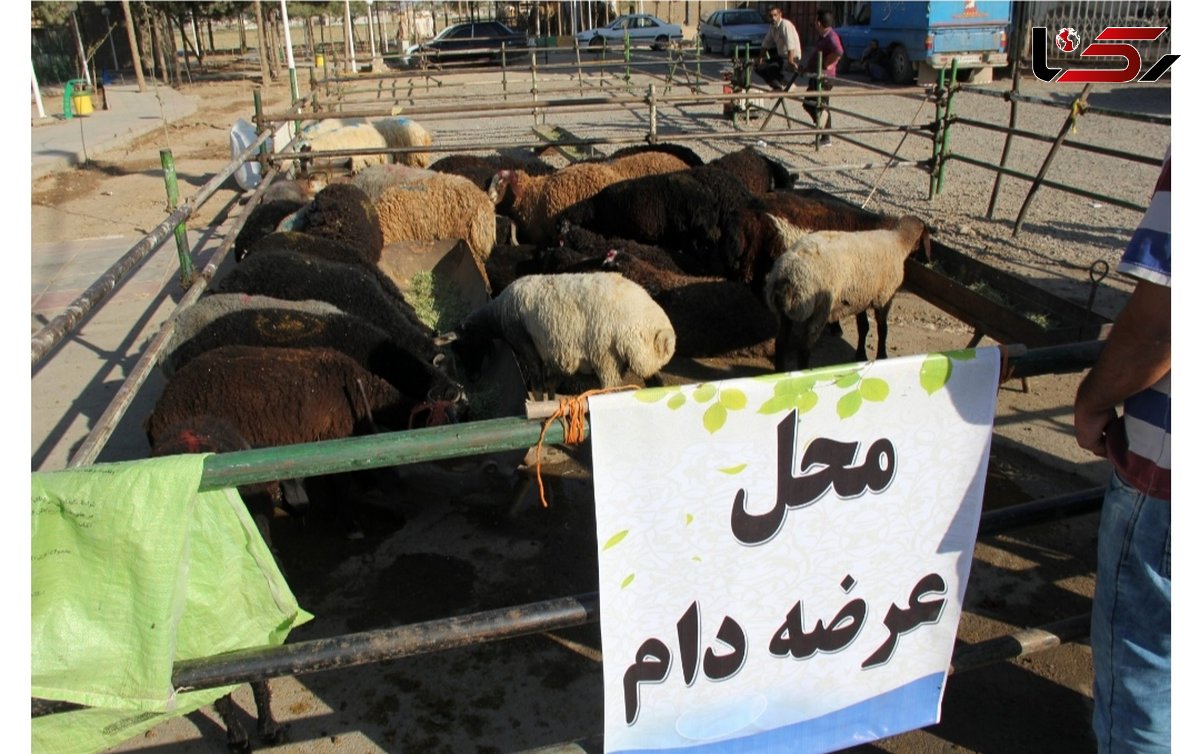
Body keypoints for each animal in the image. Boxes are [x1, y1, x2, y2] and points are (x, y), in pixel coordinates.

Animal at [436, 272, 681, 401]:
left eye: (463, 348)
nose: (472, 378)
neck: (497, 315)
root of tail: (661, 331)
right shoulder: (553, 353)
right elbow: (551, 385)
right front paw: (552, 407)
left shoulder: (525, 345)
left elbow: (537, 385)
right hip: (640, 359)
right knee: (656, 382)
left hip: (606, 357)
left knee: (611, 388)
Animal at [763, 214, 931, 372]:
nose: (928, 261)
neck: (899, 241)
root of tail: (784, 277)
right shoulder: (884, 297)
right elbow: (883, 329)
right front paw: (882, 356)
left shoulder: (861, 296)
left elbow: (863, 327)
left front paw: (860, 355)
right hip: (818, 309)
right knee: (804, 348)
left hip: (785, 313)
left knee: (781, 343)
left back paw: (780, 371)